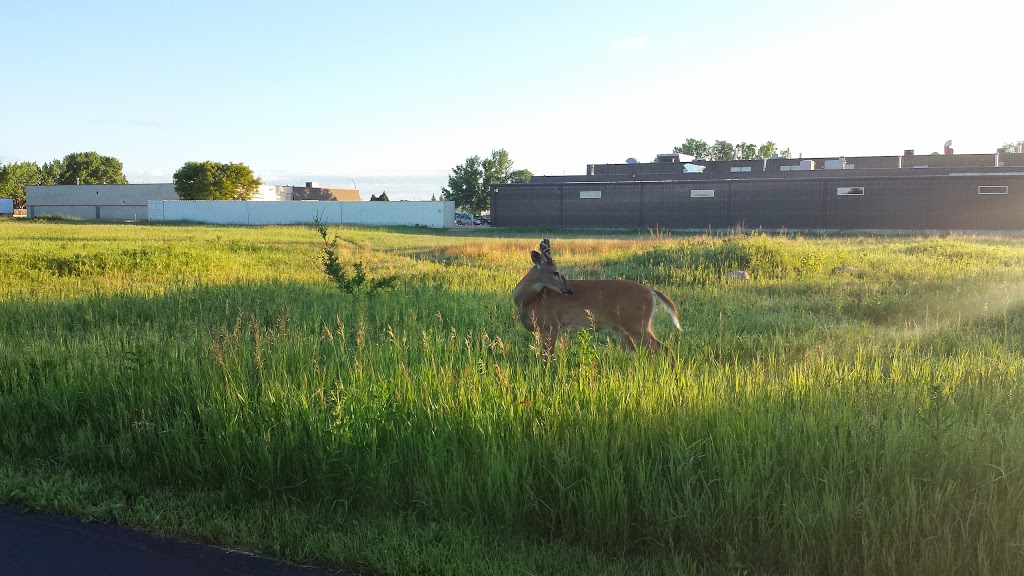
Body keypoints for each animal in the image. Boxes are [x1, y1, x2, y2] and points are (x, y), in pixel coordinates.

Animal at [512, 236, 679, 354]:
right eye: (555, 272)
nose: (569, 290)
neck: (527, 302)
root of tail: (651, 291)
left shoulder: (551, 325)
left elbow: (548, 357)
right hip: (620, 327)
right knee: (633, 351)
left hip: (637, 323)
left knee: (663, 348)